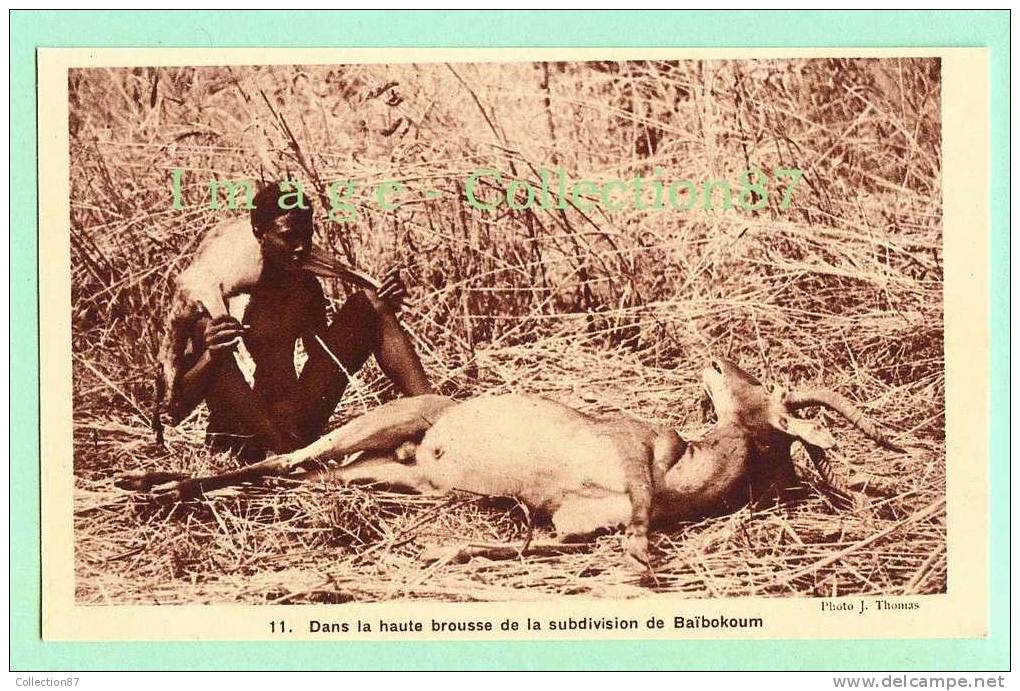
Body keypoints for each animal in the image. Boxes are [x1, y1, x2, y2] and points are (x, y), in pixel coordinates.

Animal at [125, 355, 901, 571]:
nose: (713, 361)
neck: (684, 477)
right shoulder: (631, 449)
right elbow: (640, 523)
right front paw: (643, 560)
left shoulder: (569, 522)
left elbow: (545, 539)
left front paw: (457, 553)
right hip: (376, 425)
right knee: (288, 455)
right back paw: (144, 483)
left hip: (393, 474)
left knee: (296, 473)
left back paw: (157, 488)